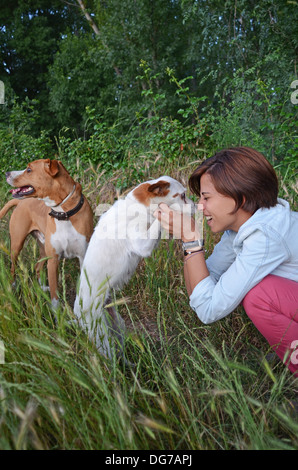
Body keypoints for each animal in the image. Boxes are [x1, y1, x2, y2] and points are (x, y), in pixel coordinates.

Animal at [0, 159, 93, 308]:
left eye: (29, 170)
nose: (6, 173)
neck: (63, 213)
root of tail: (20, 203)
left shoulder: (83, 256)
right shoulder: (53, 260)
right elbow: (55, 295)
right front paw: (57, 312)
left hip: (43, 249)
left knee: (37, 267)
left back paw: (42, 288)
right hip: (17, 245)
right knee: (13, 267)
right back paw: (12, 286)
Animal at [74, 176, 193, 360]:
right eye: (182, 195)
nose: (195, 205)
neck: (136, 206)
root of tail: (77, 312)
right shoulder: (141, 244)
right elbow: (159, 218)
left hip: (118, 326)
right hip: (102, 339)